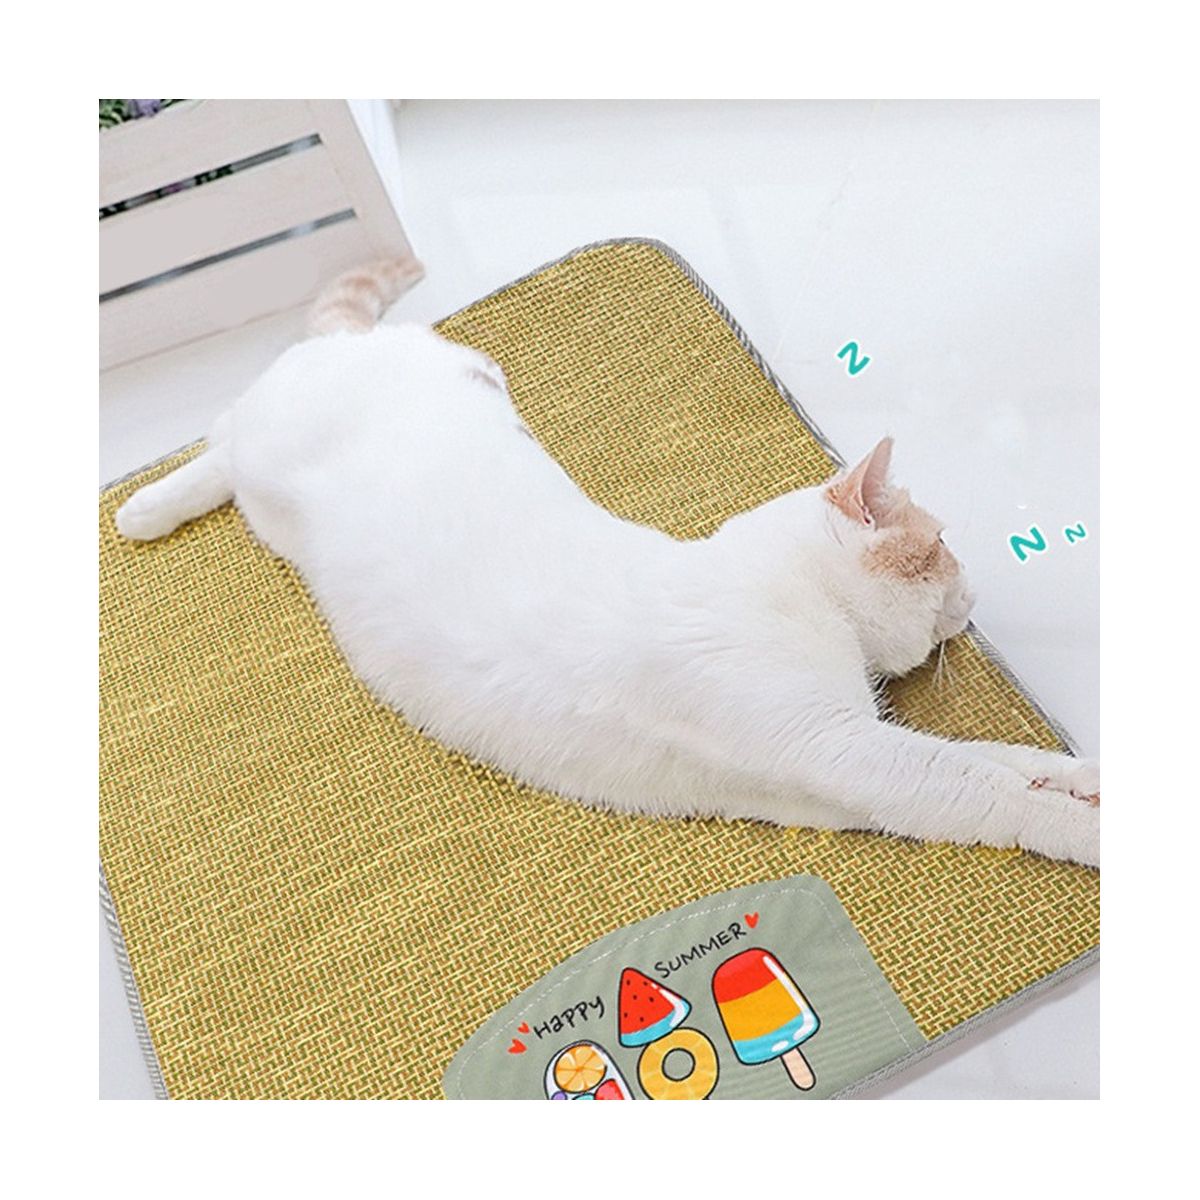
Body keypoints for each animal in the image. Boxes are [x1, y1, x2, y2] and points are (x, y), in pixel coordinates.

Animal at [116, 260, 1100, 868]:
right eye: (943, 545)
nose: (975, 591)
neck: (791, 595)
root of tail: (349, 349)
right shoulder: (849, 752)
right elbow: (990, 788)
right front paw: (1087, 829)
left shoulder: (846, 770)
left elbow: (1001, 760)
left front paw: (1082, 776)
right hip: (277, 452)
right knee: (219, 431)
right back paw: (142, 509)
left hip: (459, 381)